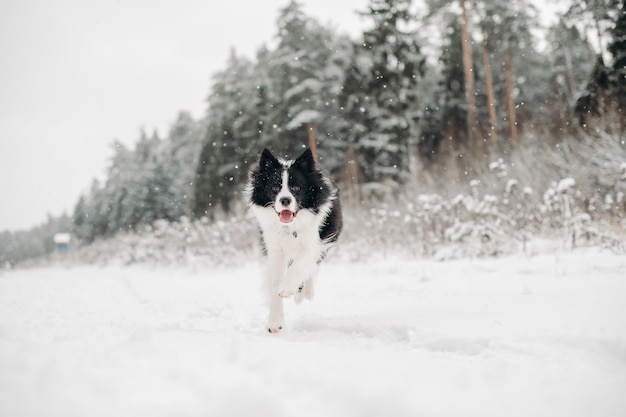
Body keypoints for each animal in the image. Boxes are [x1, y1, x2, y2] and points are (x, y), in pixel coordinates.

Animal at [245, 148, 342, 334]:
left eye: (296, 187)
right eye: (275, 187)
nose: (285, 200)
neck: (289, 227)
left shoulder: (314, 243)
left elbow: (299, 266)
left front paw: (287, 288)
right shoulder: (274, 250)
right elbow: (274, 282)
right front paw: (275, 322)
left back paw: (304, 293)